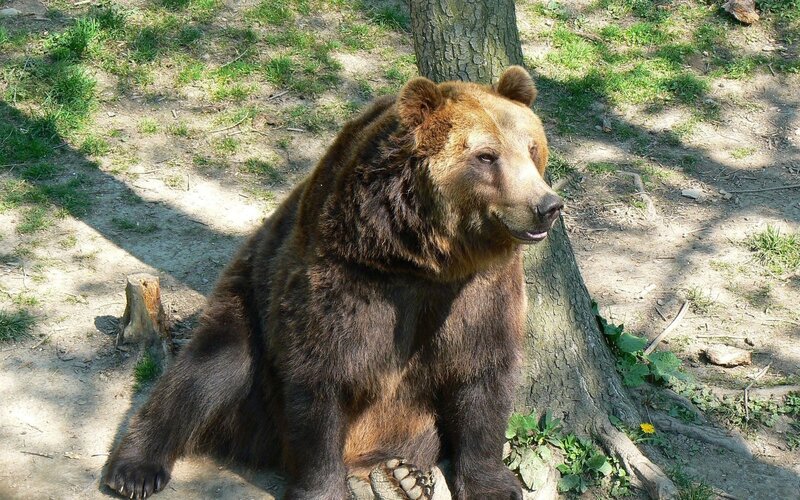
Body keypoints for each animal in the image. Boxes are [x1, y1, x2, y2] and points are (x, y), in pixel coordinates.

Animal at [103, 65, 563, 500]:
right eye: (486, 156)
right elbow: (322, 373)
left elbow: (482, 375)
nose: (547, 205)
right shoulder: (349, 277)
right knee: (208, 368)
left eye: (531, 147)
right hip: (249, 303)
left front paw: (493, 483)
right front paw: (322, 488)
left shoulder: (479, 291)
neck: (425, 257)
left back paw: (397, 477)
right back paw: (134, 468)